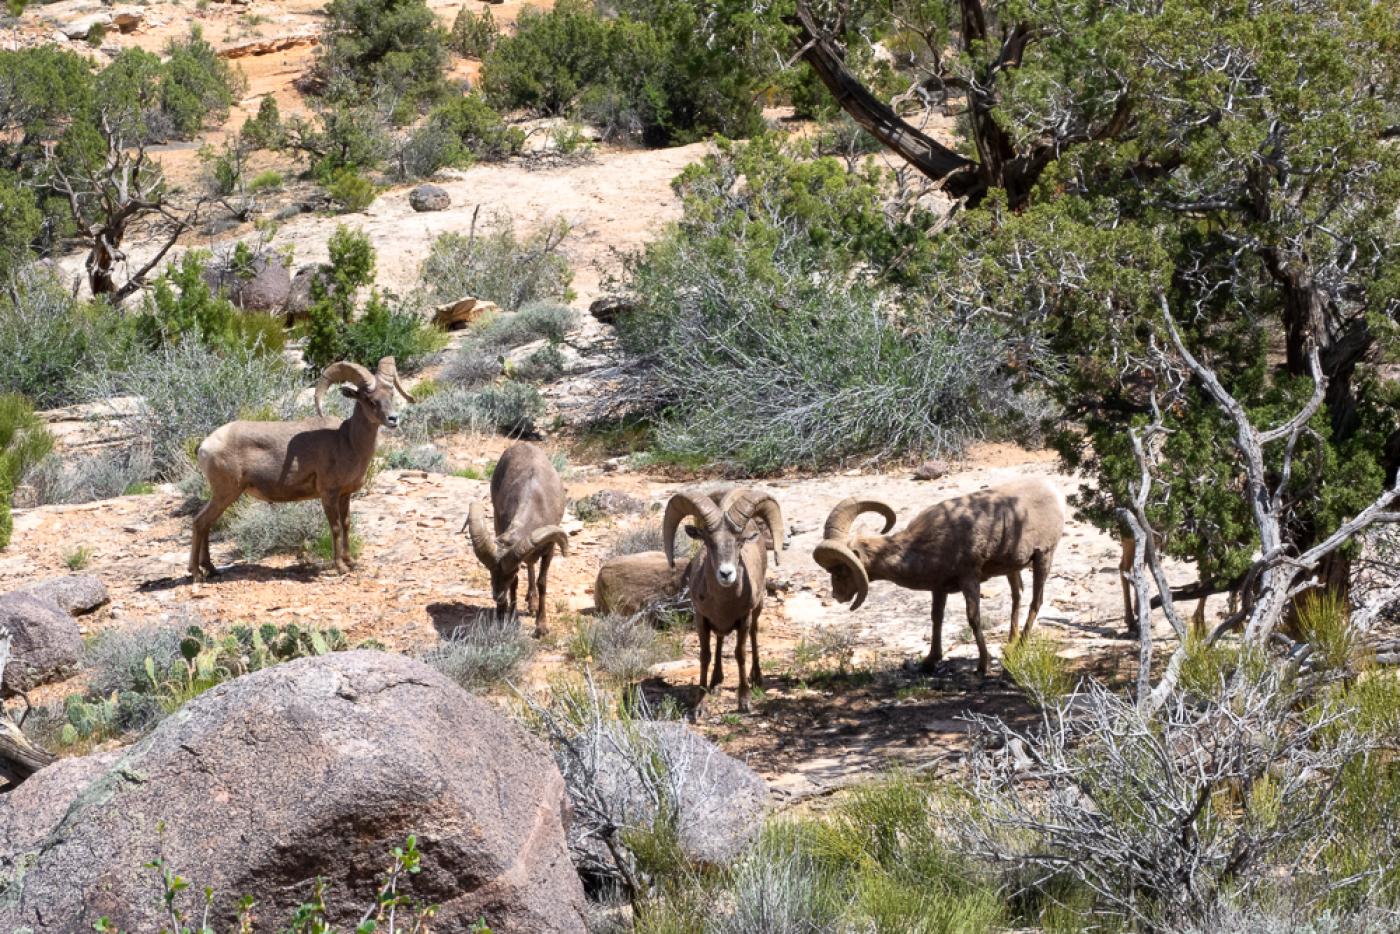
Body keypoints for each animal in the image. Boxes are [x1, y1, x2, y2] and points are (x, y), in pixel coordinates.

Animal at [189, 361, 411, 585]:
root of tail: (205, 446)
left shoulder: (345, 495)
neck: (347, 441)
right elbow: (335, 527)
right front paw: (340, 567)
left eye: (391, 395)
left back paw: (211, 569)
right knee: (200, 522)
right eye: (370, 400)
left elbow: (346, 524)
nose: (393, 419)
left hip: (223, 495)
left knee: (206, 524)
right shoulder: (328, 494)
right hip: (226, 493)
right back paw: (197, 573)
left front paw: (350, 563)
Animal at [462, 445, 565, 635]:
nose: (498, 597)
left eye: (512, 571)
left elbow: (542, 582)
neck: (536, 504)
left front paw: (541, 627)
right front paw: (507, 617)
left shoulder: (550, 548)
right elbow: (515, 585)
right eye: (490, 571)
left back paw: (532, 604)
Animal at [660, 487, 784, 711]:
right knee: (718, 642)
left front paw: (744, 701)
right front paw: (700, 704)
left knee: (754, 635)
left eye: (740, 541)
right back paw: (716, 683)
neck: (723, 605)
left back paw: (756, 678)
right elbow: (705, 656)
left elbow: (740, 654)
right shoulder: (702, 619)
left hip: (757, 610)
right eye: (709, 542)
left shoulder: (744, 619)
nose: (726, 574)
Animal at [812, 478, 1058, 674]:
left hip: (1043, 558)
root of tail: (1052, 491)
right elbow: (936, 618)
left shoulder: (969, 579)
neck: (924, 545)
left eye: (840, 570)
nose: (837, 596)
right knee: (1017, 596)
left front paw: (983, 665)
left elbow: (973, 618)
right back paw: (1010, 645)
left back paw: (1021, 645)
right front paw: (930, 661)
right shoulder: (939, 588)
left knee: (1036, 601)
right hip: (1012, 568)